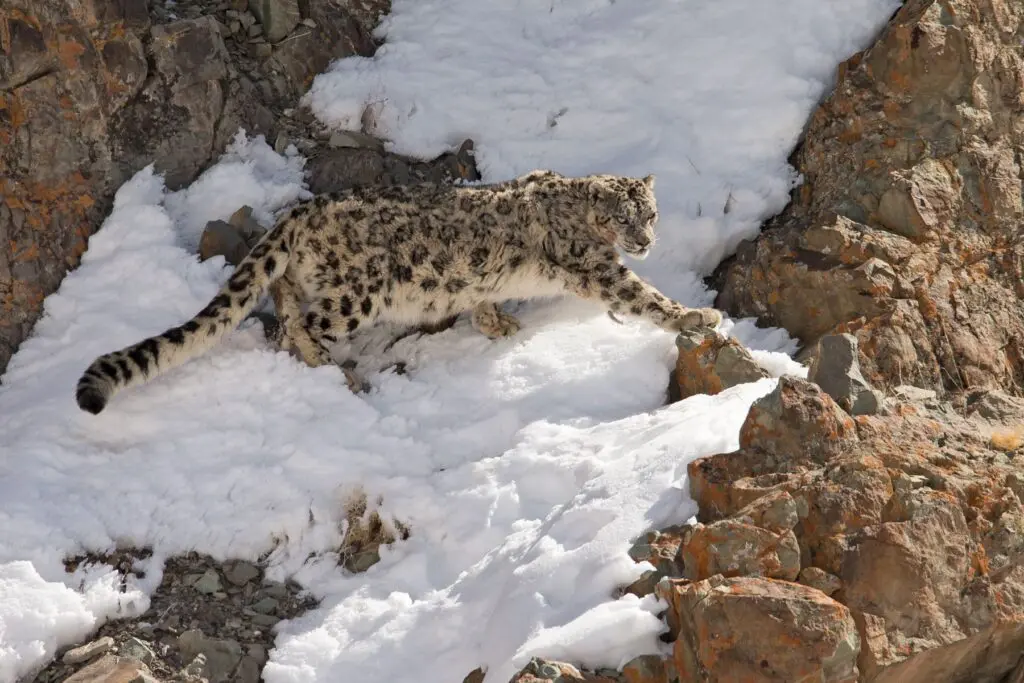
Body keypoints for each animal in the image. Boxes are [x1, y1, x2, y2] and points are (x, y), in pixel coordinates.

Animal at [75, 169, 722, 414]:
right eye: (622, 217)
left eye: (651, 213)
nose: (644, 240)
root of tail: (302, 212)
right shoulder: (597, 267)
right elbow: (643, 297)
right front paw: (697, 316)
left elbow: (483, 296)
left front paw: (498, 323)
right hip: (357, 295)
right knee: (300, 325)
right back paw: (338, 375)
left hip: (308, 275)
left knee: (283, 293)